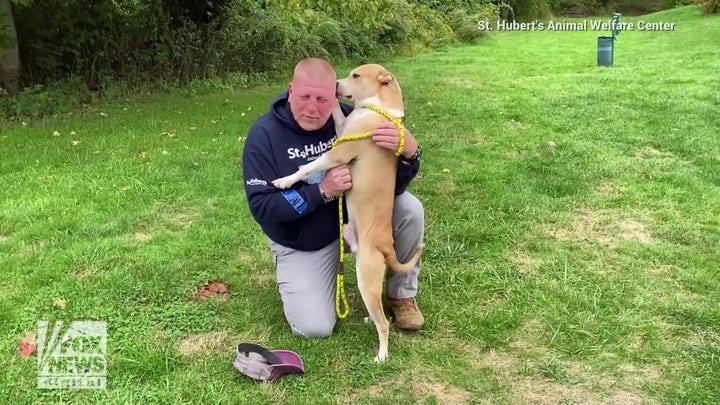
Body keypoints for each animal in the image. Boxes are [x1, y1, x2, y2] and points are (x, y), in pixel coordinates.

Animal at [272, 64, 424, 362]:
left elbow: (308, 167)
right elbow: (336, 113)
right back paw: (368, 320)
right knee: (376, 313)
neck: (378, 108)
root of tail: (386, 247)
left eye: (356, 75)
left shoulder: (339, 152)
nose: (335, 85)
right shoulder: (343, 127)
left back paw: (381, 355)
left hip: (366, 275)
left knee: (384, 323)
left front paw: (285, 180)